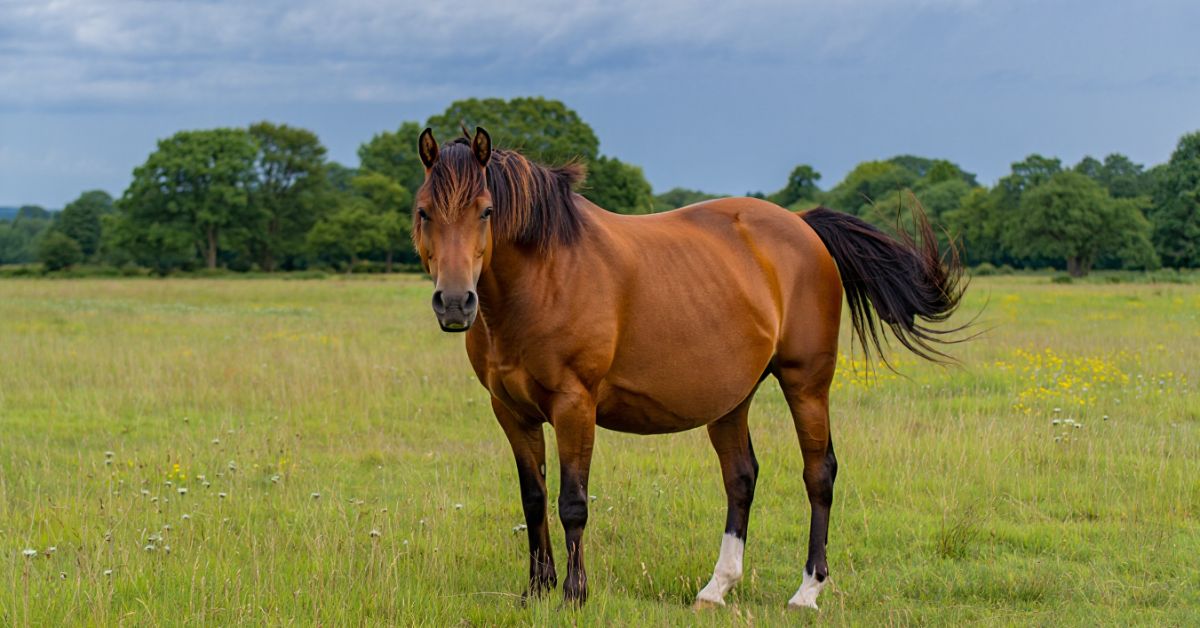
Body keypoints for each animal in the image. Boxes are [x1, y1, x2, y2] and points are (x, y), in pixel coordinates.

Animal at [411, 126, 966, 610]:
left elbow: (572, 502)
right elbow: (533, 499)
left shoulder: (575, 405)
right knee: (741, 478)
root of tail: (803, 225)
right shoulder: (511, 411)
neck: (544, 275)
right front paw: (536, 591)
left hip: (806, 383)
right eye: (423, 212)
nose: (455, 303)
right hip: (732, 398)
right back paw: (717, 588)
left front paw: (573, 594)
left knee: (818, 474)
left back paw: (807, 591)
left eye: (486, 211)